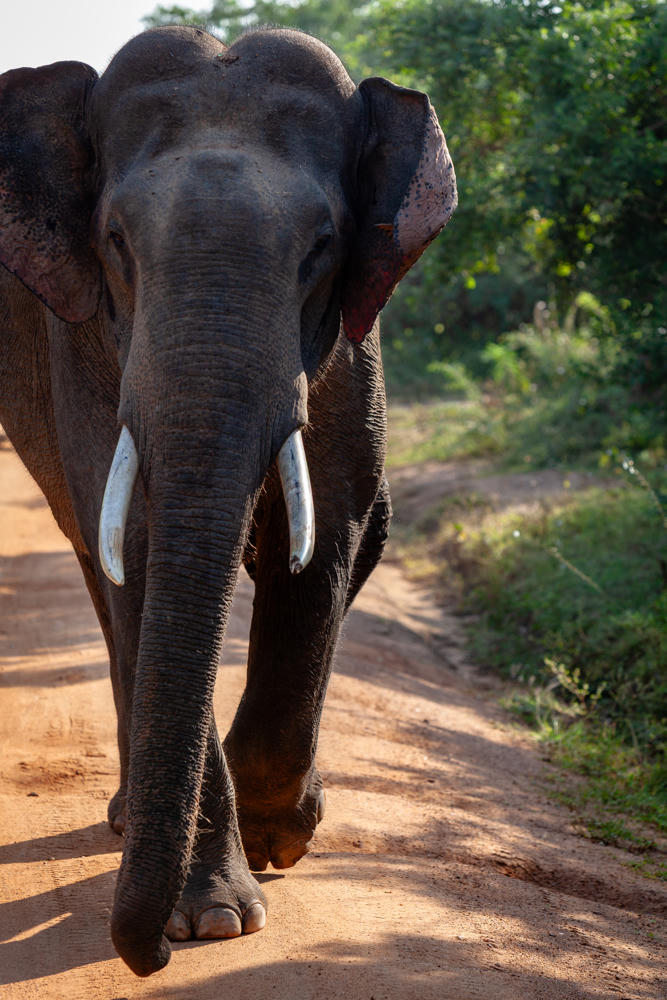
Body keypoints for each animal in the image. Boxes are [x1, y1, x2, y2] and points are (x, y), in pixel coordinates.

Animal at [0, 25, 456, 976]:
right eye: (115, 239)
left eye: (322, 244)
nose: (147, 959)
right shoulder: (83, 336)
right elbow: (139, 540)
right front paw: (210, 921)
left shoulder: (351, 347)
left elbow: (328, 536)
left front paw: (279, 837)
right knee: (101, 567)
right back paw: (135, 824)